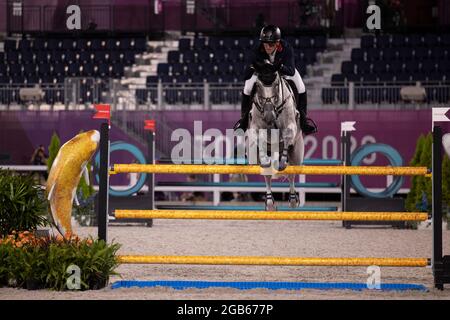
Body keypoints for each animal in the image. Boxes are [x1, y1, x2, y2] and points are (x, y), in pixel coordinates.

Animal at [246, 70, 306, 210]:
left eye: (276, 85)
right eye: (258, 86)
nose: (269, 116)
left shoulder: (291, 125)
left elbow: (287, 135)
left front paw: (282, 162)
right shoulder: (256, 126)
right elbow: (260, 137)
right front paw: (265, 160)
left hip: (296, 154)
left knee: (291, 174)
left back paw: (293, 199)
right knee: (267, 174)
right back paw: (269, 203)